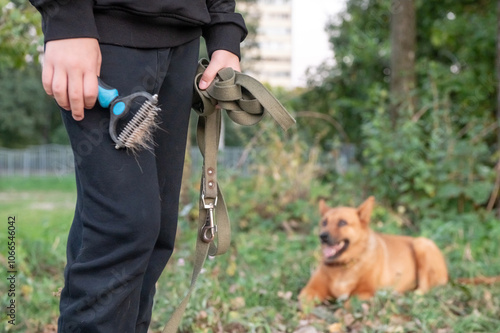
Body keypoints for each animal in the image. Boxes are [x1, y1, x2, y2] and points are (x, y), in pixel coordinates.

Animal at [298, 196, 448, 304]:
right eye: (324, 222)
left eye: (342, 222)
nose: (322, 236)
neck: (344, 265)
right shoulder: (309, 291)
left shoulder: (364, 293)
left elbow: (348, 304)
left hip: (421, 244)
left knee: (424, 288)